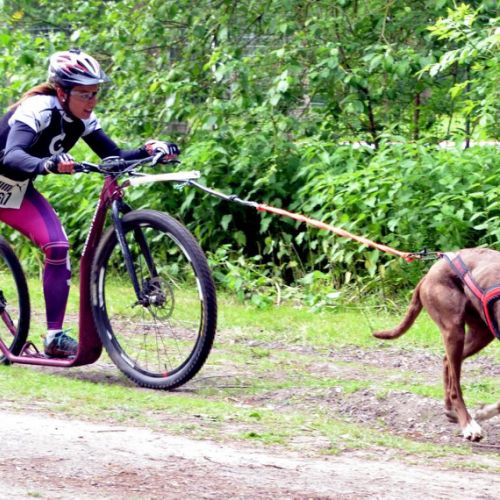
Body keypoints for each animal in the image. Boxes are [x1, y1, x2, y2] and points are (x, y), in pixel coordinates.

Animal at [373, 248, 499, 442]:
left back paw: (451, 410)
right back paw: (468, 424)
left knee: (447, 362)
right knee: (455, 386)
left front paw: (485, 412)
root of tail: (429, 274)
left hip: (481, 332)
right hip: (454, 329)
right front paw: (484, 413)